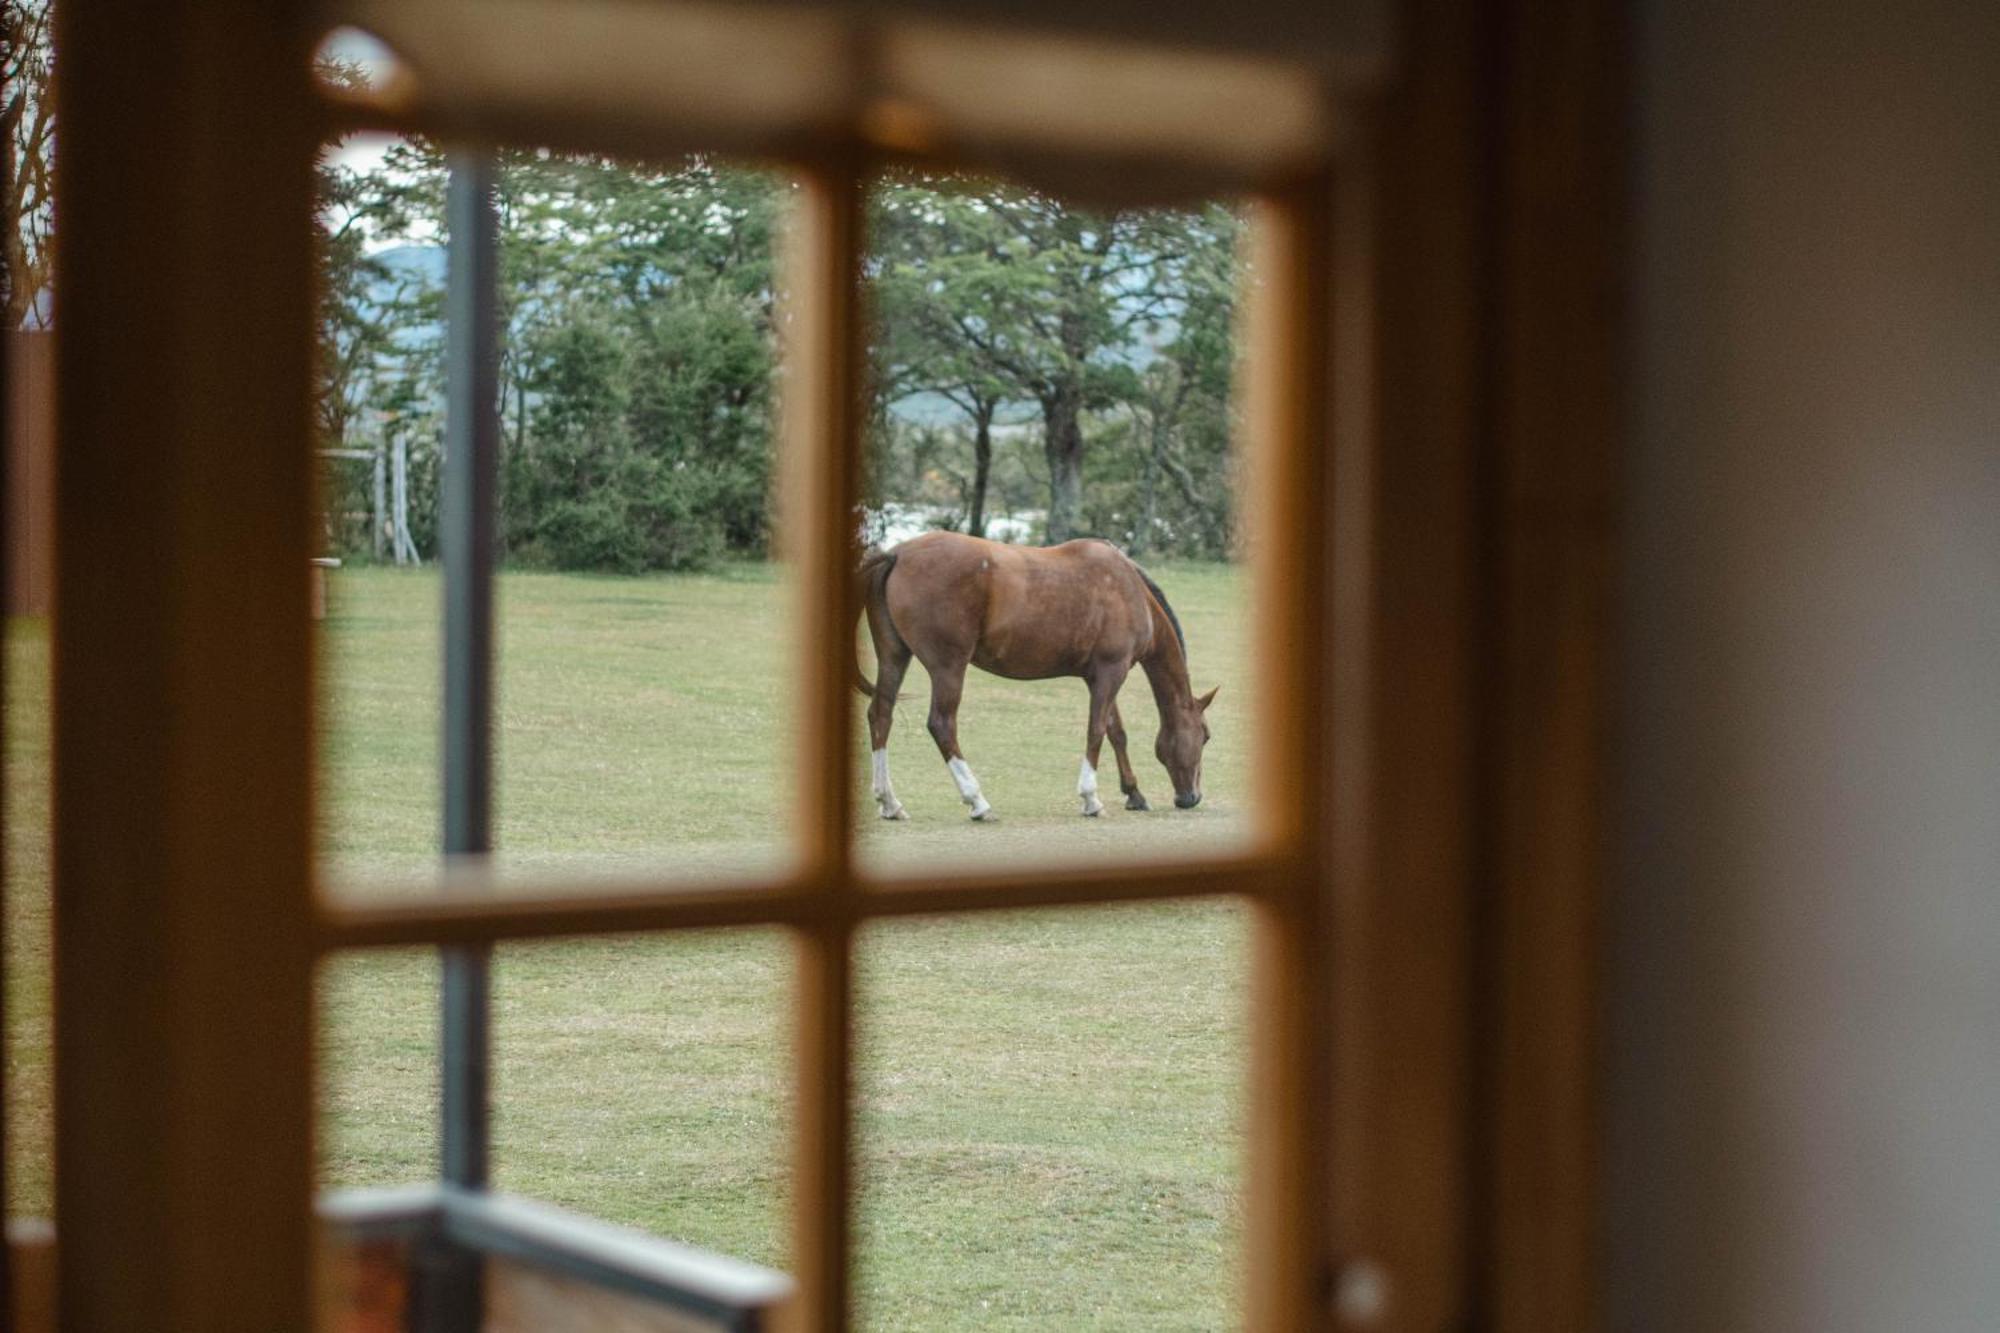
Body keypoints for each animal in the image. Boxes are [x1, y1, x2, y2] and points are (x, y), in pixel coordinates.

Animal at [848, 528, 1216, 820]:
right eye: (1206, 736)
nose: (1191, 798)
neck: (1129, 589)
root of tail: (899, 553)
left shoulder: (1099, 677)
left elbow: (1116, 732)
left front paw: (1134, 794)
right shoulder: (1112, 672)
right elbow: (1097, 731)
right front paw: (1090, 798)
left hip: (895, 657)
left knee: (881, 716)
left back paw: (889, 802)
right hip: (948, 667)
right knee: (942, 724)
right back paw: (977, 801)